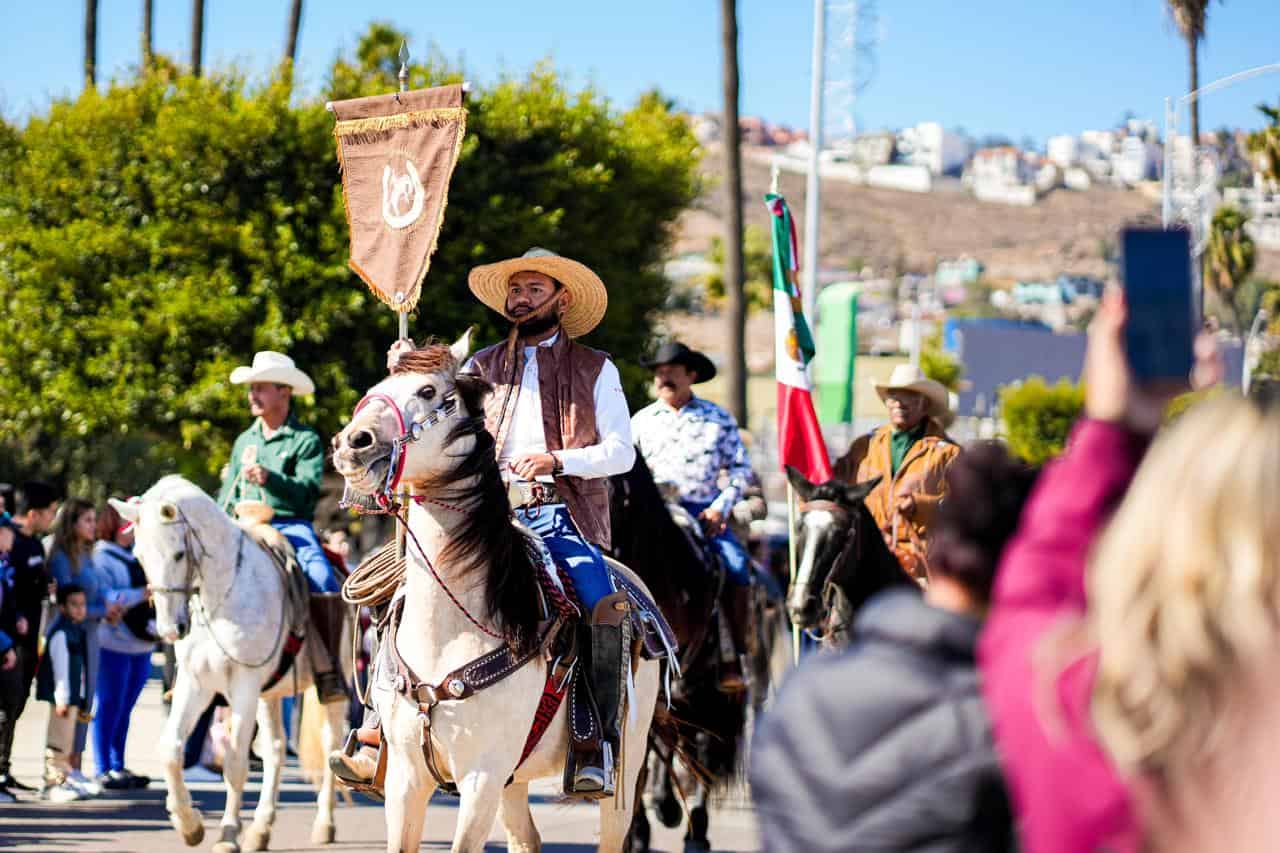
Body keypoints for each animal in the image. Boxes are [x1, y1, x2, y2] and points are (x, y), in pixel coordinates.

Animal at [110, 479, 348, 850]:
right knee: (276, 750)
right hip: (270, 694)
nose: (169, 630)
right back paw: (261, 829)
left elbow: (235, 763)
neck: (222, 595)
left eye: (178, 554)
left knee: (331, 747)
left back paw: (324, 824)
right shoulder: (196, 684)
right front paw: (188, 823)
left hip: (333, 684)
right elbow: (170, 749)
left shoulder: (244, 685)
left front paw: (228, 834)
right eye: (139, 556)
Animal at [330, 335, 660, 845]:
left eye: (428, 391)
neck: (450, 630)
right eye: (375, 389)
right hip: (514, 780)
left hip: (625, 766)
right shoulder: (406, 779)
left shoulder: (481, 778)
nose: (352, 442)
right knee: (527, 840)